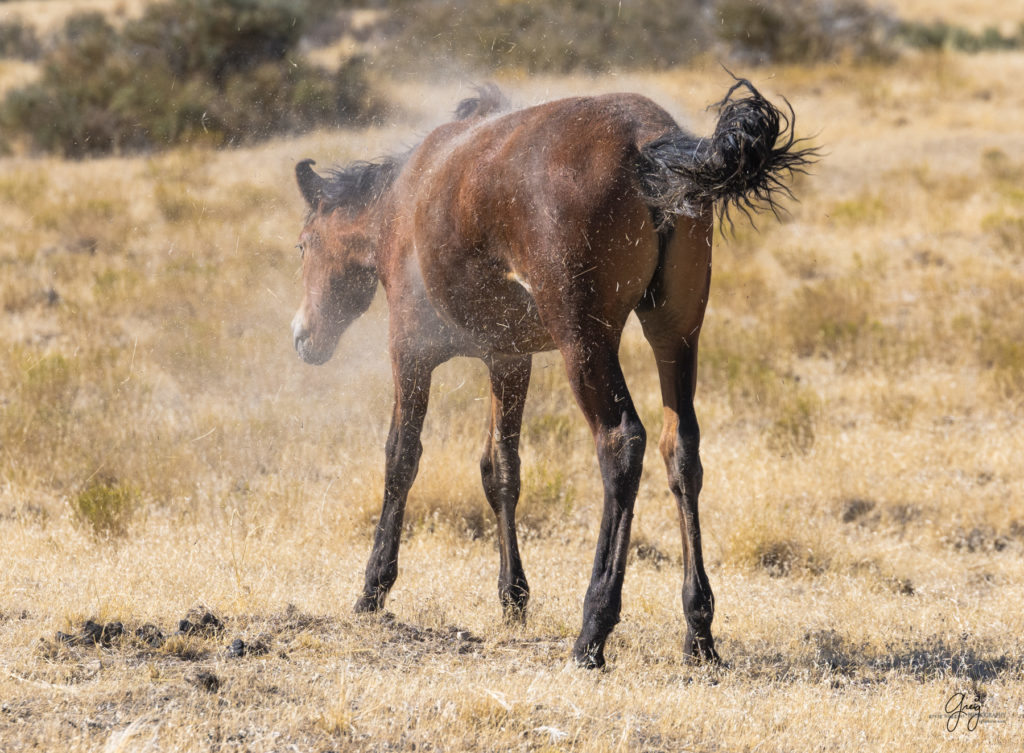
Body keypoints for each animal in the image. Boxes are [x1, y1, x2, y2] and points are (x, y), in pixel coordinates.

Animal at [290, 79, 815, 663]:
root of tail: (648, 141)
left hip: (584, 344)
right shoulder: (508, 360)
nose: (303, 336)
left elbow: (401, 458)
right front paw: (512, 596)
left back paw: (594, 628)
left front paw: (373, 587)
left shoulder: (410, 351)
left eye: (303, 245)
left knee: (621, 444)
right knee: (680, 450)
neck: (403, 202)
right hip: (674, 335)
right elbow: (500, 470)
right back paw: (698, 631)